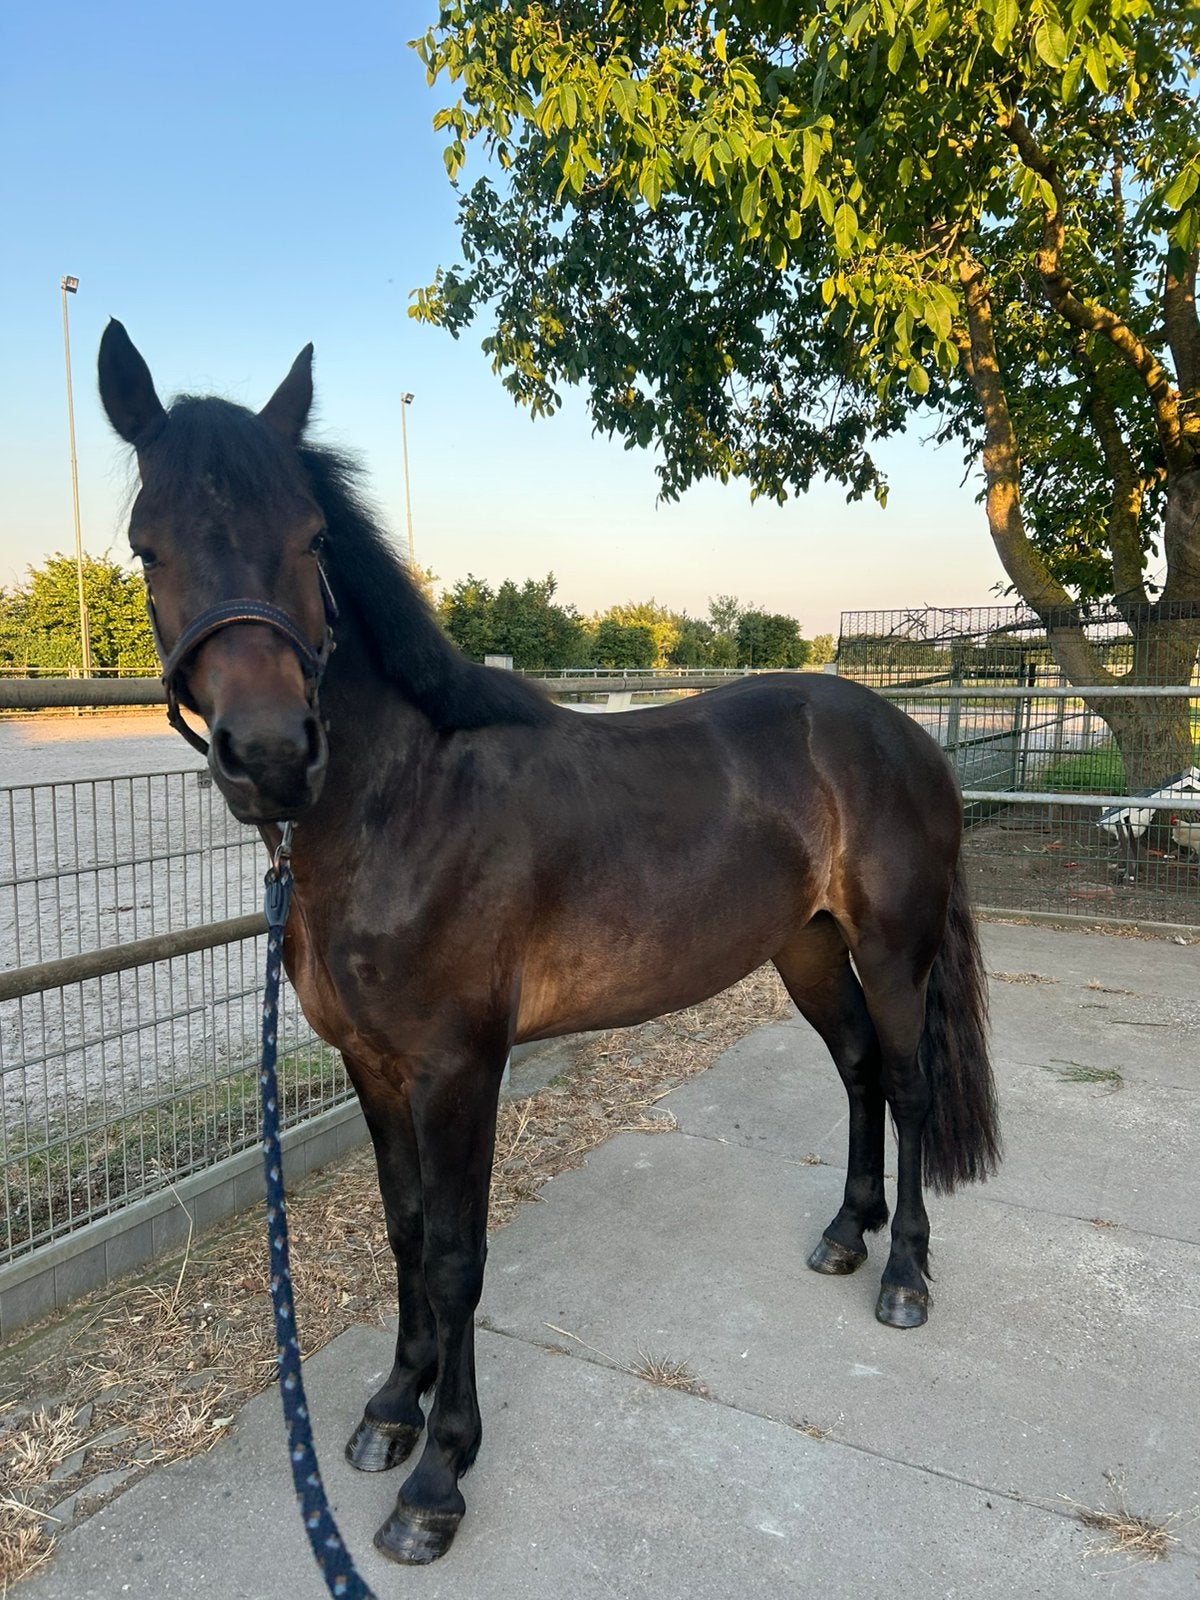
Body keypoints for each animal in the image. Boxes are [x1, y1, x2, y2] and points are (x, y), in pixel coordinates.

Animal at [97, 321, 999, 1566]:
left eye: (312, 536)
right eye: (149, 545)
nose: (273, 755)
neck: (403, 803)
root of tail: (900, 730)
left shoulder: (461, 1066)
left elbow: (455, 1253)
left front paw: (437, 1477)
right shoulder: (373, 1067)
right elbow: (403, 1233)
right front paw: (392, 1406)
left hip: (896, 949)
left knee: (910, 1086)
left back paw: (905, 1274)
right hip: (810, 951)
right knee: (861, 1070)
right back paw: (844, 1235)